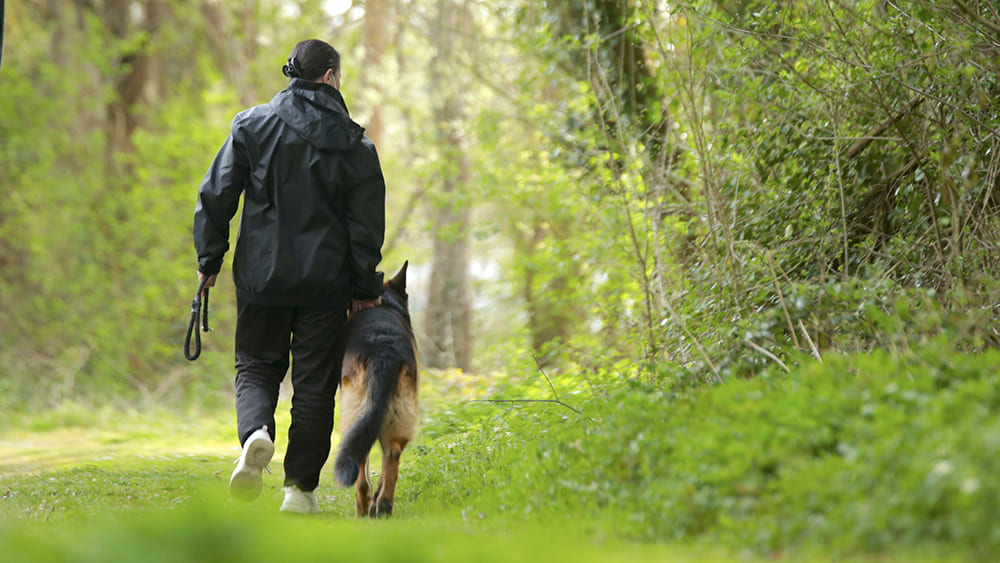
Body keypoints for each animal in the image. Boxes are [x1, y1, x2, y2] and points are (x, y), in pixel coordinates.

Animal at [334, 262, 416, 516]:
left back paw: (364, 508)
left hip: (355, 415)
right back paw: (383, 505)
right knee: (393, 453)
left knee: (361, 465)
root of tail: (384, 351)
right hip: (399, 415)